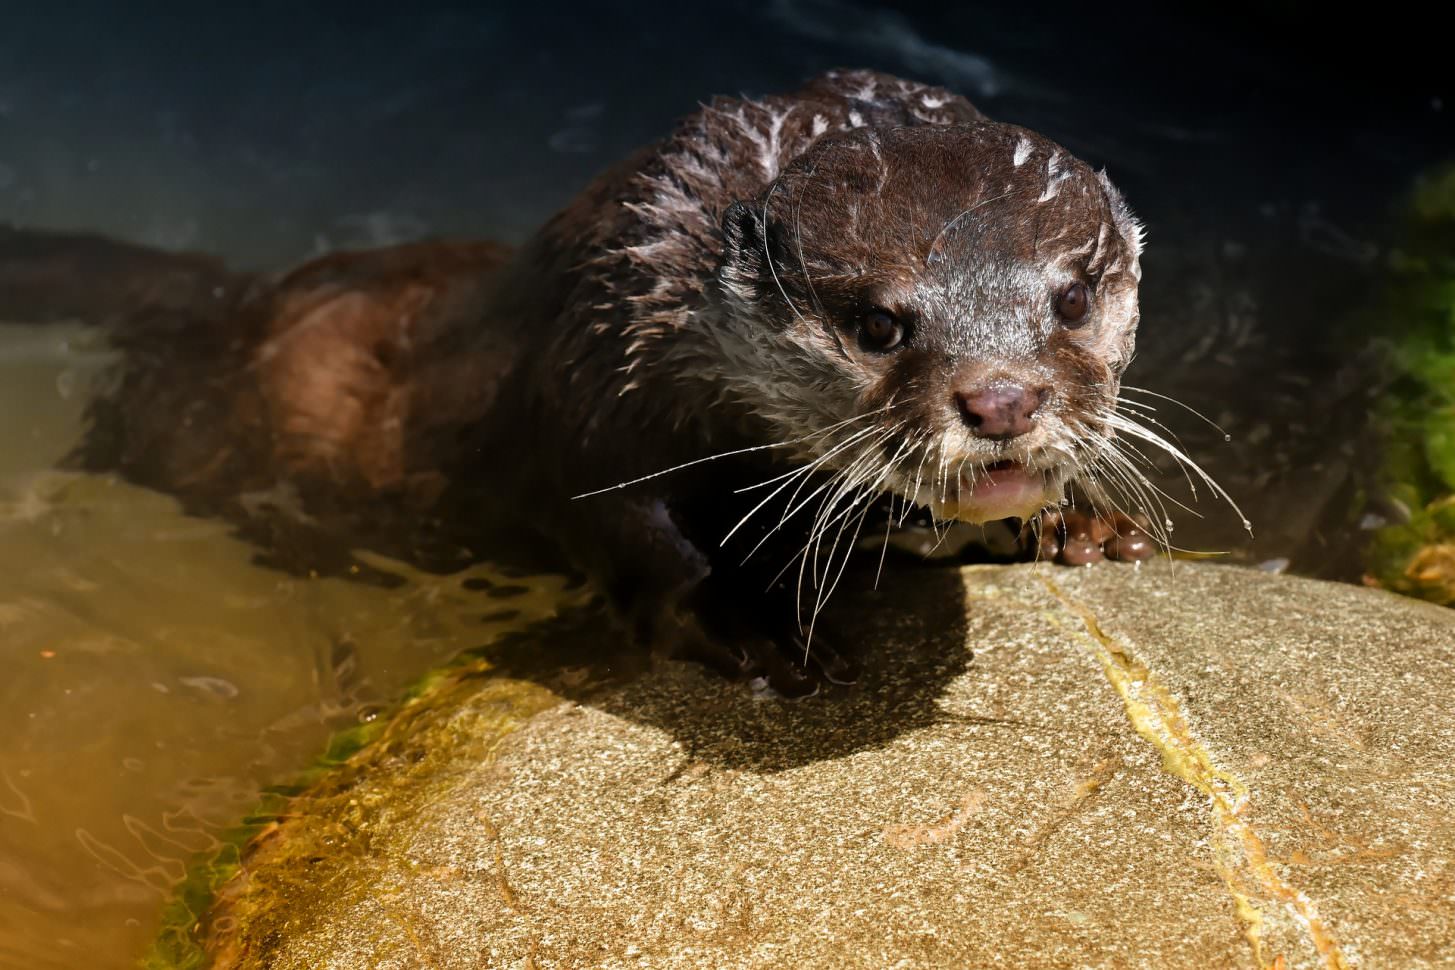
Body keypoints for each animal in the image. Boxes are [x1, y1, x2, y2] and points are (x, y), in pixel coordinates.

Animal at [2, 70, 1158, 689]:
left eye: (1069, 298)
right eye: (878, 323)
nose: (1001, 398)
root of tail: (237, 298)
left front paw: (1086, 521)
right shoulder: (593, 363)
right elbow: (613, 518)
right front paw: (753, 622)